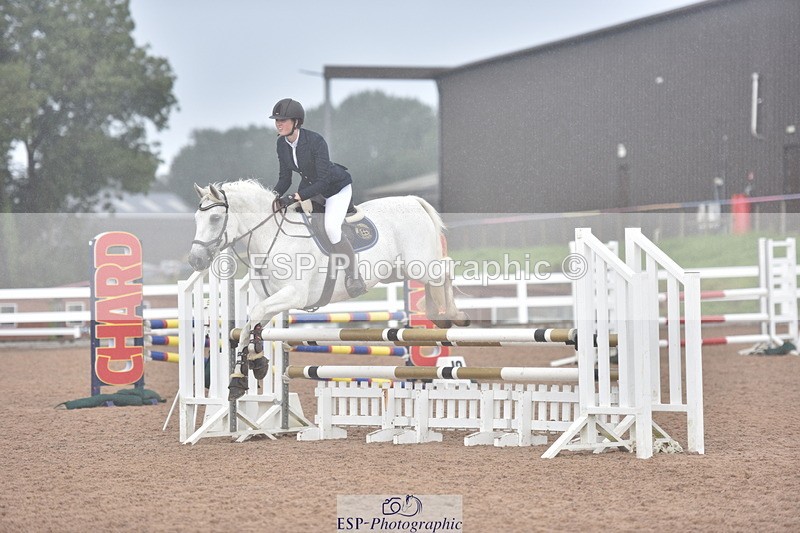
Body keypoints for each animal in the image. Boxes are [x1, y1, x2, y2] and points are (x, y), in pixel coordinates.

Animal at [187, 180, 469, 399]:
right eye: (196, 219)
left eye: (215, 218)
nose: (195, 261)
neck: (271, 238)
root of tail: (413, 200)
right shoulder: (270, 298)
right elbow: (251, 326)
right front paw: (251, 369)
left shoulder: (293, 295)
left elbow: (253, 319)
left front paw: (245, 371)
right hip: (398, 271)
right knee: (438, 277)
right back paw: (438, 316)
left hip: (419, 265)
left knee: (445, 269)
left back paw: (451, 316)